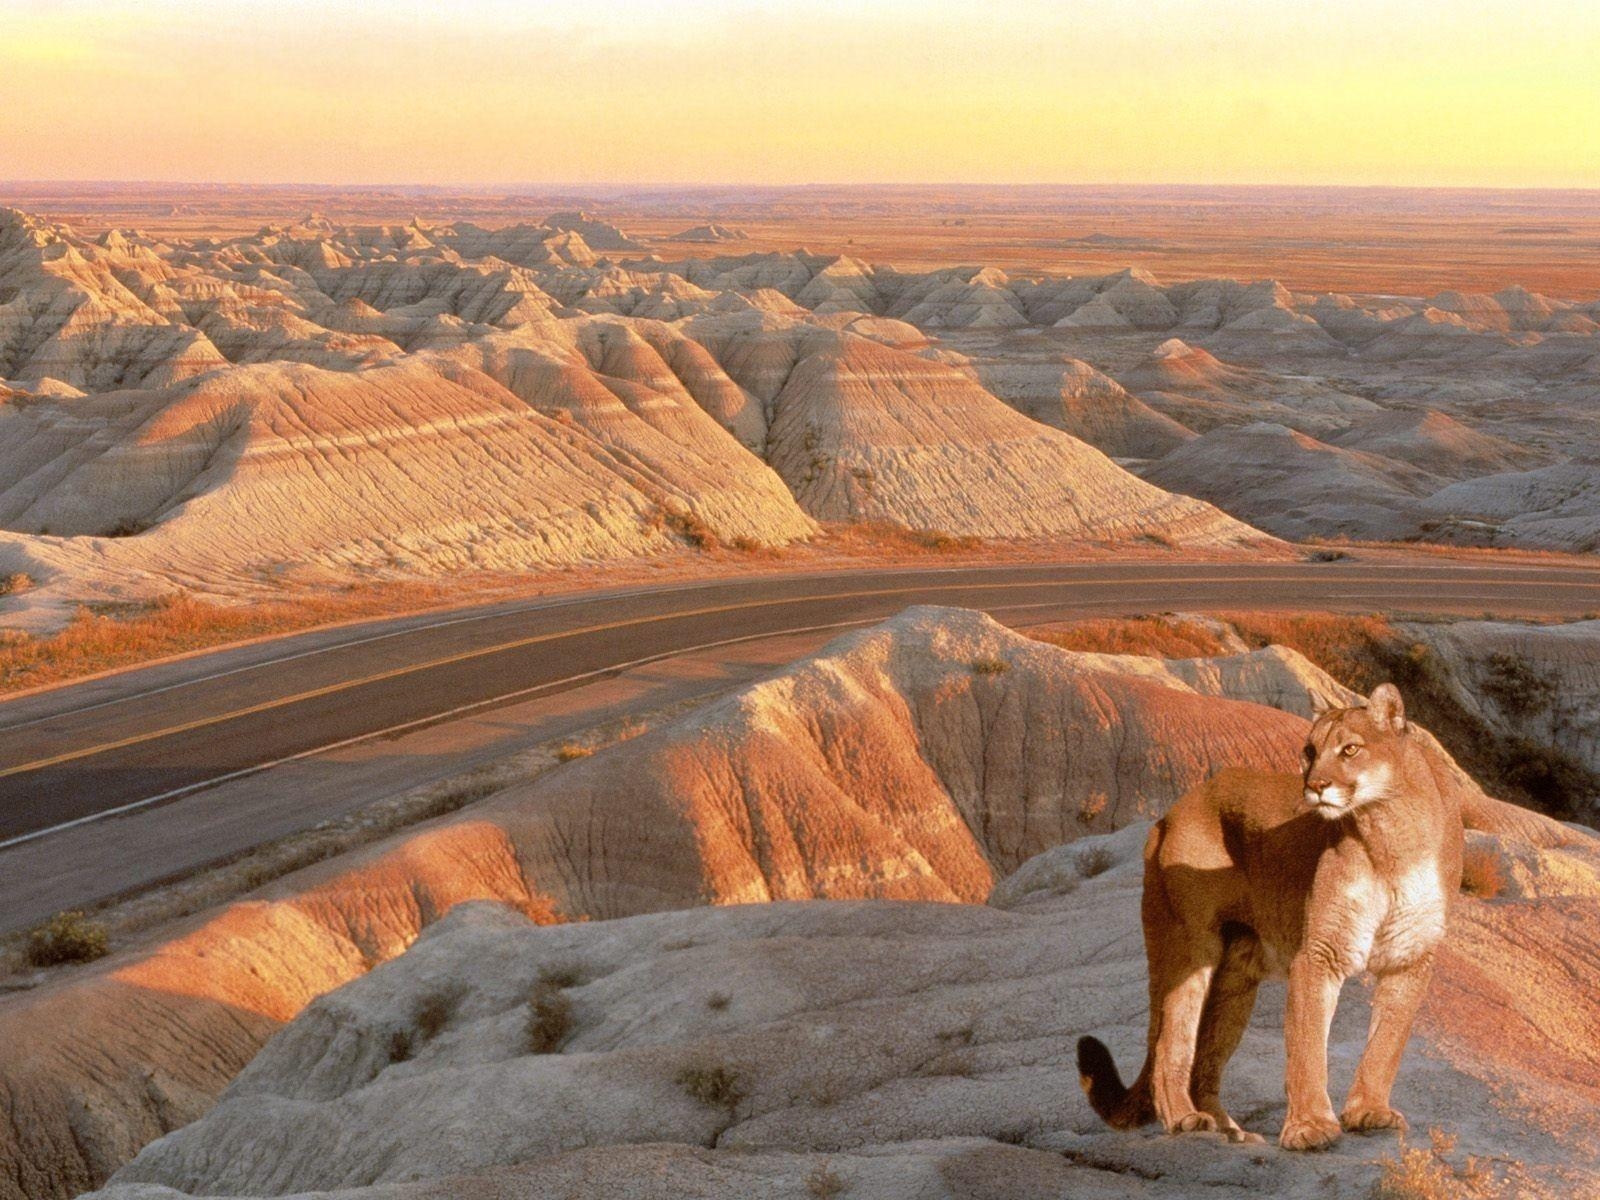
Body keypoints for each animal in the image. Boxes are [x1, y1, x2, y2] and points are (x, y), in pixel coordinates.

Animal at [1075, 681, 1465, 1152]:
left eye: (1351, 749)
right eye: (1310, 751)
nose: (1315, 786)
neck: (1392, 834)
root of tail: (1172, 811)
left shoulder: (1410, 957)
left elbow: (1385, 1045)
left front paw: (1370, 1112)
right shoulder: (1320, 953)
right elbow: (1308, 1046)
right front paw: (1310, 1127)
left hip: (1236, 978)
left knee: (1205, 1059)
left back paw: (1229, 1129)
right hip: (1189, 947)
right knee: (1172, 1040)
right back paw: (1186, 1120)